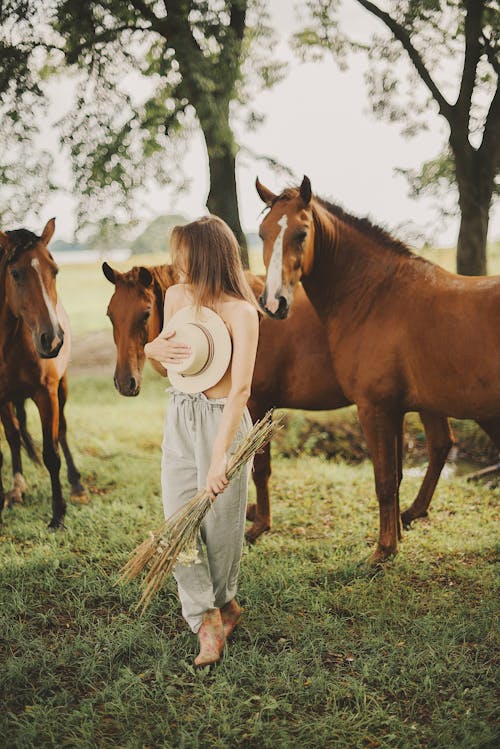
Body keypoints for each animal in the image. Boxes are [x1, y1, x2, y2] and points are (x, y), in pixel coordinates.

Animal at [0, 221, 86, 524]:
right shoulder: (1, 399)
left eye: (55, 271)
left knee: (62, 431)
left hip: (62, 388)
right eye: (15, 273)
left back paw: (77, 484)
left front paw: (58, 513)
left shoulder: (45, 392)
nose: (53, 339)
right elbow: (11, 440)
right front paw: (13, 492)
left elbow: (51, 452)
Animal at [103, 260, 456, 540]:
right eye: (110, 315)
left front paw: (260, 524)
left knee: (438, 445)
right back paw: (414, 511)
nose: (124, 382)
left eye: (145, 313)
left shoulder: (256, 406)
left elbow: (259, 469)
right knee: (440, 444)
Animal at [256, 175, 498, 560]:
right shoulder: (395, 411)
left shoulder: (374, 409)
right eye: (262, 233)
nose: (273, 303)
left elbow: (384, 481)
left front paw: (383, 551)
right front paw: (395, 538)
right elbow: (395, 478)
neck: (374, 297)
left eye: (301, 233)